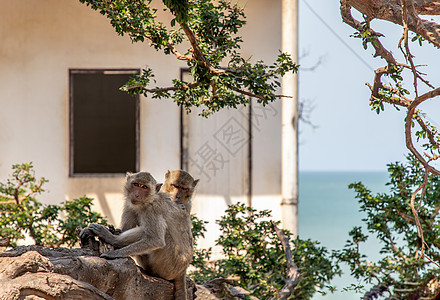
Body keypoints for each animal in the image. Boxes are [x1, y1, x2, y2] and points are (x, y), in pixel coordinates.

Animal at [80, 171, 193, 300]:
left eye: (144, 187)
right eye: (136, 184)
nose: (137, 195)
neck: (147, 201)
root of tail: (182, 270)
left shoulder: (152, 209)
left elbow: (156, 240)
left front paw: (114, 251)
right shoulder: (129, 203)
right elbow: (124, 229)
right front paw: (91, 231)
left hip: (168, 264)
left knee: (153, 232)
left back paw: (112, 239)